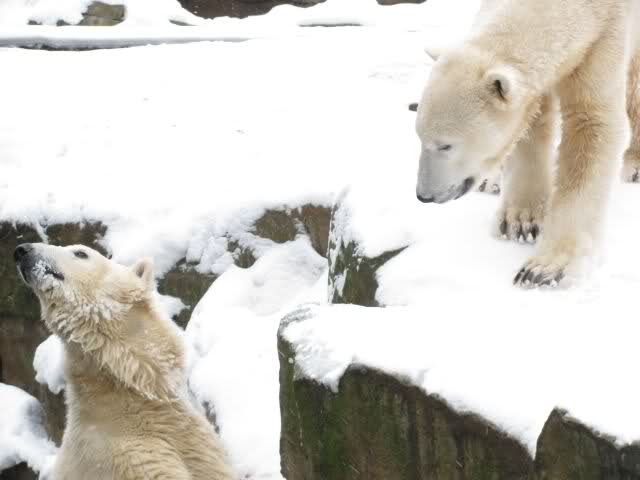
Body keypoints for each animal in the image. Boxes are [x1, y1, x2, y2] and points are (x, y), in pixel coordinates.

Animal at [415, 0, 640, 287]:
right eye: (419, 136)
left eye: (446, 145)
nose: (424, 195)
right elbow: (529, 120)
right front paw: (521, 221)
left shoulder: (605, 37)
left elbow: (591, 125)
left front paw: (545, 269)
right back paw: (492, 182)